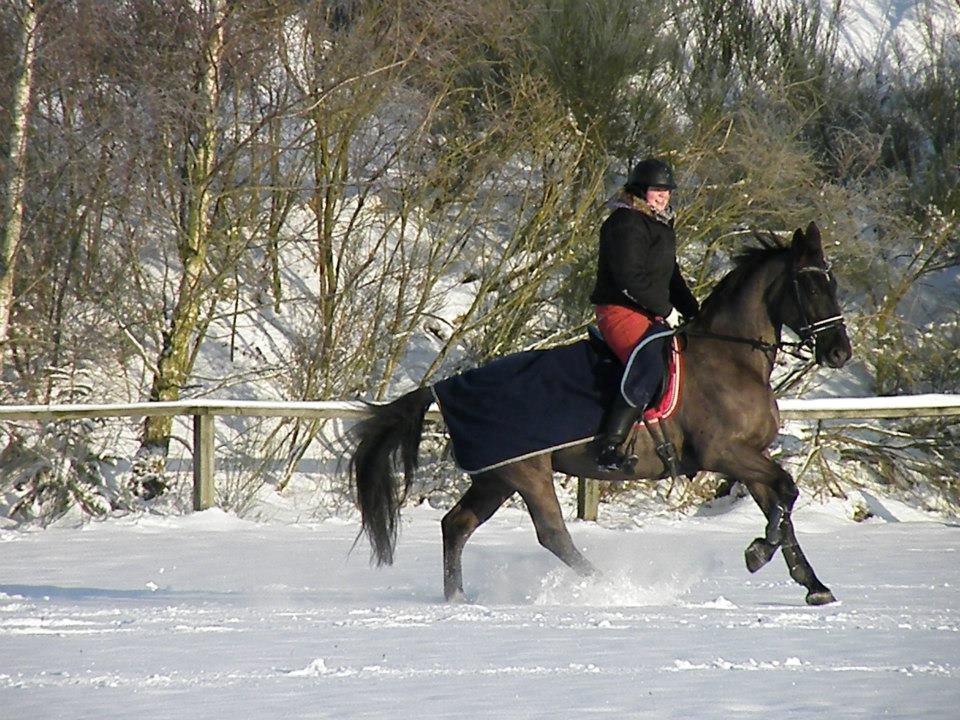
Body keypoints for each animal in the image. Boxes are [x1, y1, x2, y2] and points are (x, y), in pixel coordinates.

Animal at [348, 222, 852, 604]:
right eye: (809, 283)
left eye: (833, 282)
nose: (840, 352)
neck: (731, 357)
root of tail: (445, 386)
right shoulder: (725, 454)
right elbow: (787, 492)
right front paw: (758, 553)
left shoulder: (750, 458)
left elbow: (782, 505)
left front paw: (812, 585)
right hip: (527, 473)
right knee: (552, 534)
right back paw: (610, 587)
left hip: (495, 478)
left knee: (457, 525)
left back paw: (457, 598)